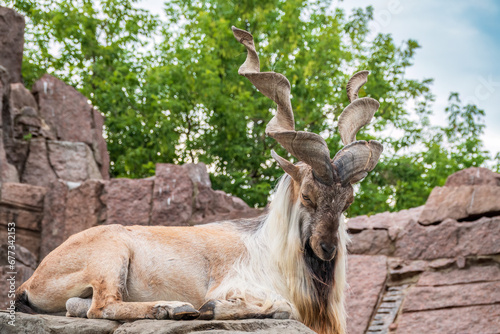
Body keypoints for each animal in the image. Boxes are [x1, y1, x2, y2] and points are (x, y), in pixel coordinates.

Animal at [15, 26, 382, 334]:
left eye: (347, 202)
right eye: (306, 195)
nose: (328, 248)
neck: (270, 248)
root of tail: (32, 279)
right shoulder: (239, 284)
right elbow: (282, 307)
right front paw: (210, 308)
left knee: (78, 305)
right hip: (111, 253)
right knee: (101, 306)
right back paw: (171, 307)